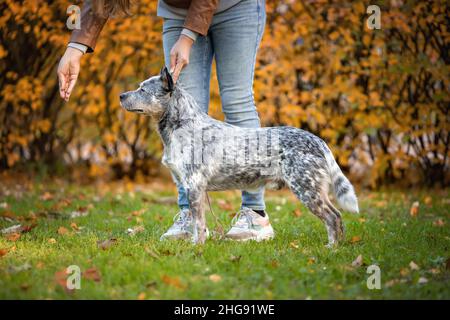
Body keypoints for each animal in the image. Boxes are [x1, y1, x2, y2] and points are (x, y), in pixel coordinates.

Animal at [119, 67, 358, 246]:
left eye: (142, 89)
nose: (121, 96)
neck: (182, 125)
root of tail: (317, 140)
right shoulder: (187, 184)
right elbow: (195, 221)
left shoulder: (194, 184)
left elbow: (198, 222)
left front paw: (197, 247)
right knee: (337, 216)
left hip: (306, 189)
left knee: (332, 217)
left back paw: (332, 247)